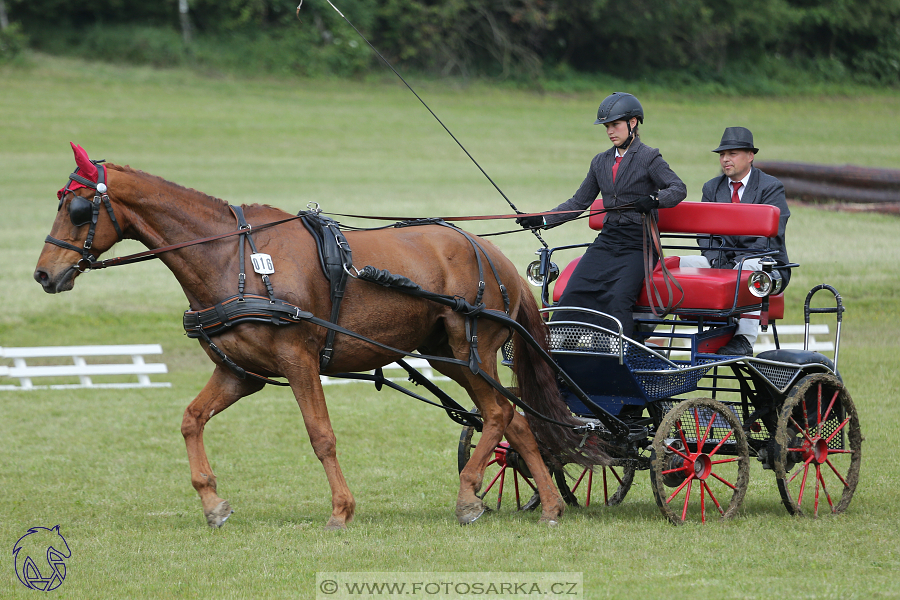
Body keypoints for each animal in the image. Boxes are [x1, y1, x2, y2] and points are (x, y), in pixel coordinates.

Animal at [35, 146, 600, 528]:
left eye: (77, 208)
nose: (43, 274)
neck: (233, 258)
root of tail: (494, 255)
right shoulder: (240, 373)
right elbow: (191, 420)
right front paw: (213, 503)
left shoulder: (298, 359)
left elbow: (320, 435)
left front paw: (341, 510)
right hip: (447, 355)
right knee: (516, 419)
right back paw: (549, 505)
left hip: (471, 348)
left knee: (501, 412)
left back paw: (469, 496)